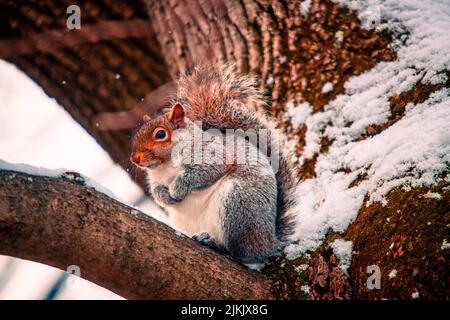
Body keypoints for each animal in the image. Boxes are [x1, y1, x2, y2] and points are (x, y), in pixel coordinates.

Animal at [131, 63, 296, 264]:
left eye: (160, 134)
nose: (134, 159)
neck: (165, 164)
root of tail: (270, 241)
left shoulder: (213, 154)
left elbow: (203, 172)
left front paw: (177, 188)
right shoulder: (155, 179)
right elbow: (156, 192)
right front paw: (165, 196)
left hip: (238, 205)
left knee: (242, 251)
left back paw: (215, 243)